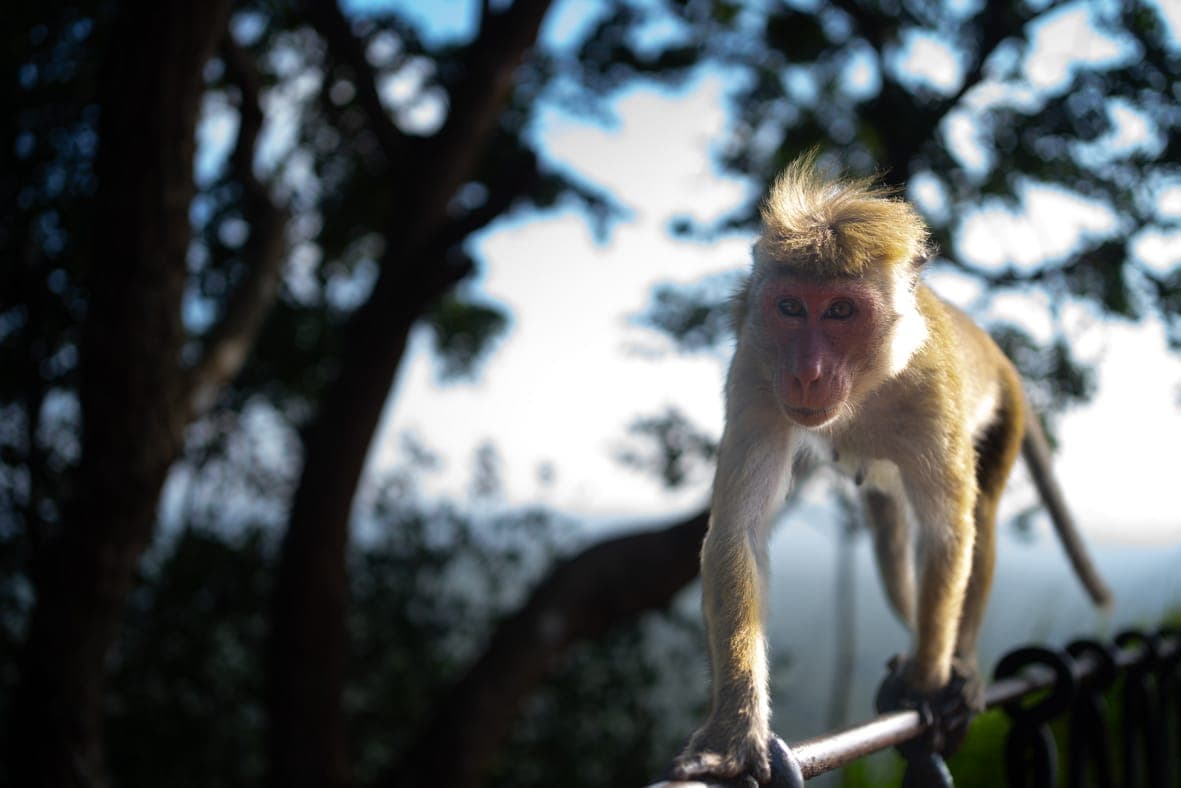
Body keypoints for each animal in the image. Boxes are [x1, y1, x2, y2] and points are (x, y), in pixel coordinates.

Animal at [669, 155, 1111, 785]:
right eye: (790, 308)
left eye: (841, 311)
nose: (806, 374)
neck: (866, 384)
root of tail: (997, 351)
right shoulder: (756, 370)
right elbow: (740, 533)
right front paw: (734, 730)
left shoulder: (931, 392)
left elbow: (949, 533)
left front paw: (927, 682)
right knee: (889, 533)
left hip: (1006, 413)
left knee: (978, 519)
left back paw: (960, 665)